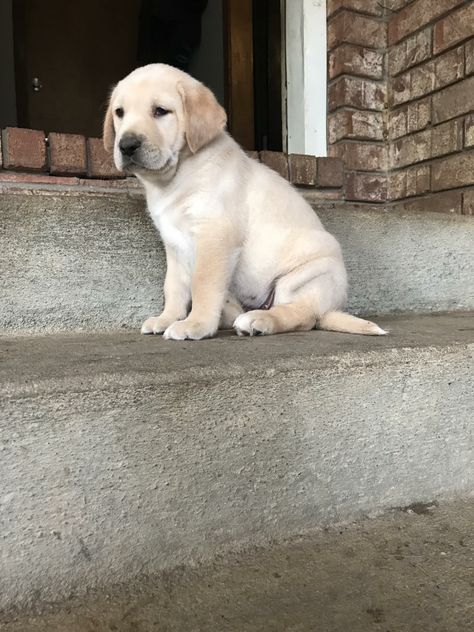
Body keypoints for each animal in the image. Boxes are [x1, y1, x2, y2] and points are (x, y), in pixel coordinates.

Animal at [103, 63, 386, 340]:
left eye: (160, 111)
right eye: (120, 112)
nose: (126, 145)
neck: (176, 176)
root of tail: (329, 309)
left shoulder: (216, 235)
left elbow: (203, 283)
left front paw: (195, 324)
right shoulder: (174, 245)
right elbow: (174, 286)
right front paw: (167, 318)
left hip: (309, 274)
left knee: (301, 315)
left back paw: (258, 320)